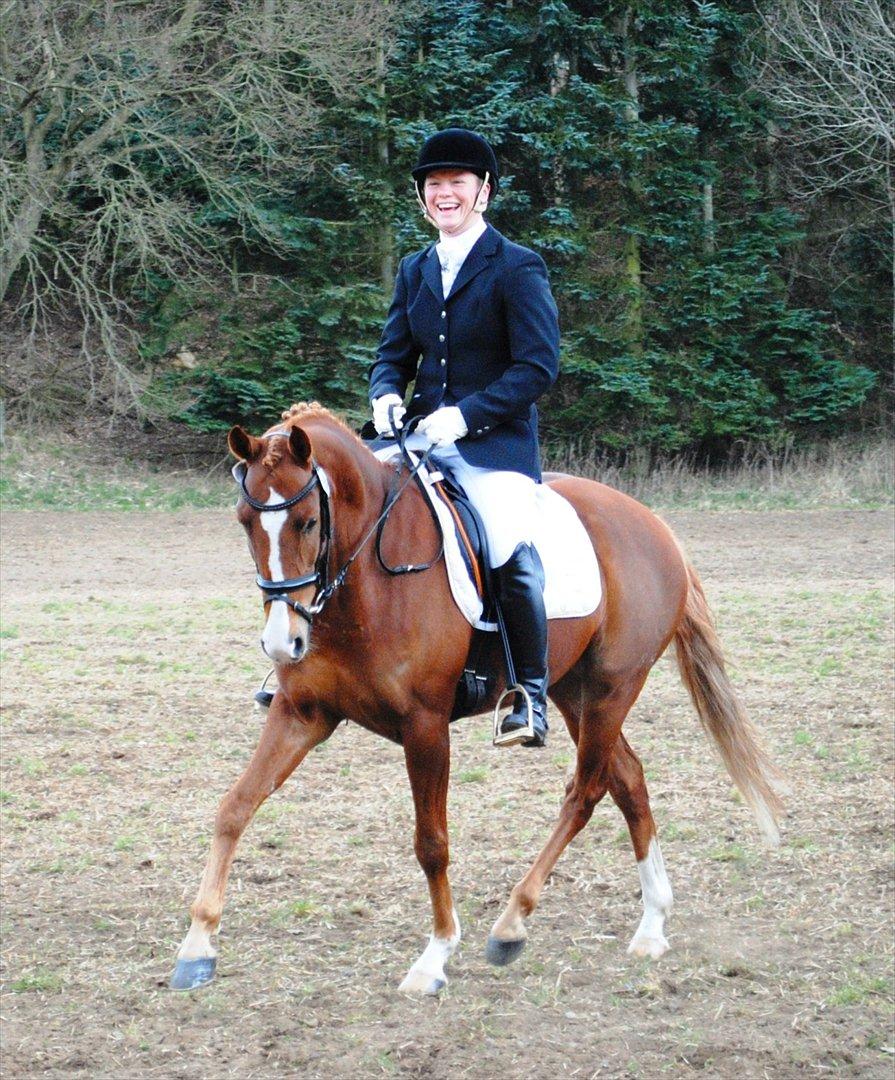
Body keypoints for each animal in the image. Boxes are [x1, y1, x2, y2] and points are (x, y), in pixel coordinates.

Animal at [170, 402, 783, 995]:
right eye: (245, 521)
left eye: (308, 521)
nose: (284, 641)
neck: (365, 578)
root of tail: (654, 525)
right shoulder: (303, 713)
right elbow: (234, 808)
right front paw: (197, 947)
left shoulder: (424, 724)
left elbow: (431, 842)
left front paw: (435, 957)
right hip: (571, 688)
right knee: (627, 778)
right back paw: (652, 924)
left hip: (614, 687)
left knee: (585, 792)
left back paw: (512, 924)